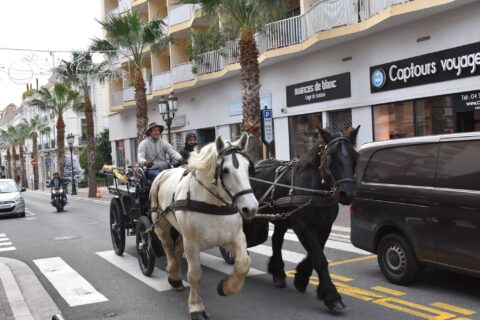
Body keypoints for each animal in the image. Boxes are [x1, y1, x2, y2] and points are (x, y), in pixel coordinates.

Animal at [150, 132, 258, 320]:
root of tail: (165, 172)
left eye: (248, 168)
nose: (250, 208)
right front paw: (196, 307)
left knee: (177, 248)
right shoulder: (192, 244)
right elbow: (194, 274)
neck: (213, 204)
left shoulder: (234, 238)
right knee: (168, 247)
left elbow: (244, 263)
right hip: (161, 224)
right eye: (225, 170)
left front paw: (226, 288)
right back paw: (174, 276)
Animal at [249, 125, 358, 312]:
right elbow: (319, 258)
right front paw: (332, 296)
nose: (347, 194)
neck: (315, 188)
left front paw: (303, 279)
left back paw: (278, 273)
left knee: (277, 241)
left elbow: (316, 254)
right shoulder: (303, 227)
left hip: (281, 218)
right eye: (331, 156)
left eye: (354, 156)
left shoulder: (325, 226)